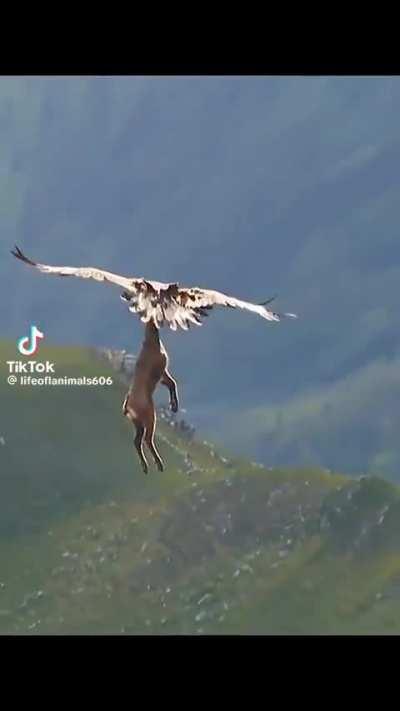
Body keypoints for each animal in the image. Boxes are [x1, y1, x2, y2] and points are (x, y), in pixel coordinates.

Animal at [122, 320, 179, 474]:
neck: (152, 341)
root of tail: (127, 405)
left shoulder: (163, 373)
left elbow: (172, 383)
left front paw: (174, 406)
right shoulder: (160, 368)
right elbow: (171, 383)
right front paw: (174, 405)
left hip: (137, 421)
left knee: (137, 440)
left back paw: (145, 466)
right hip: (149, 417)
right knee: (147, 438)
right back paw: (159, 464)